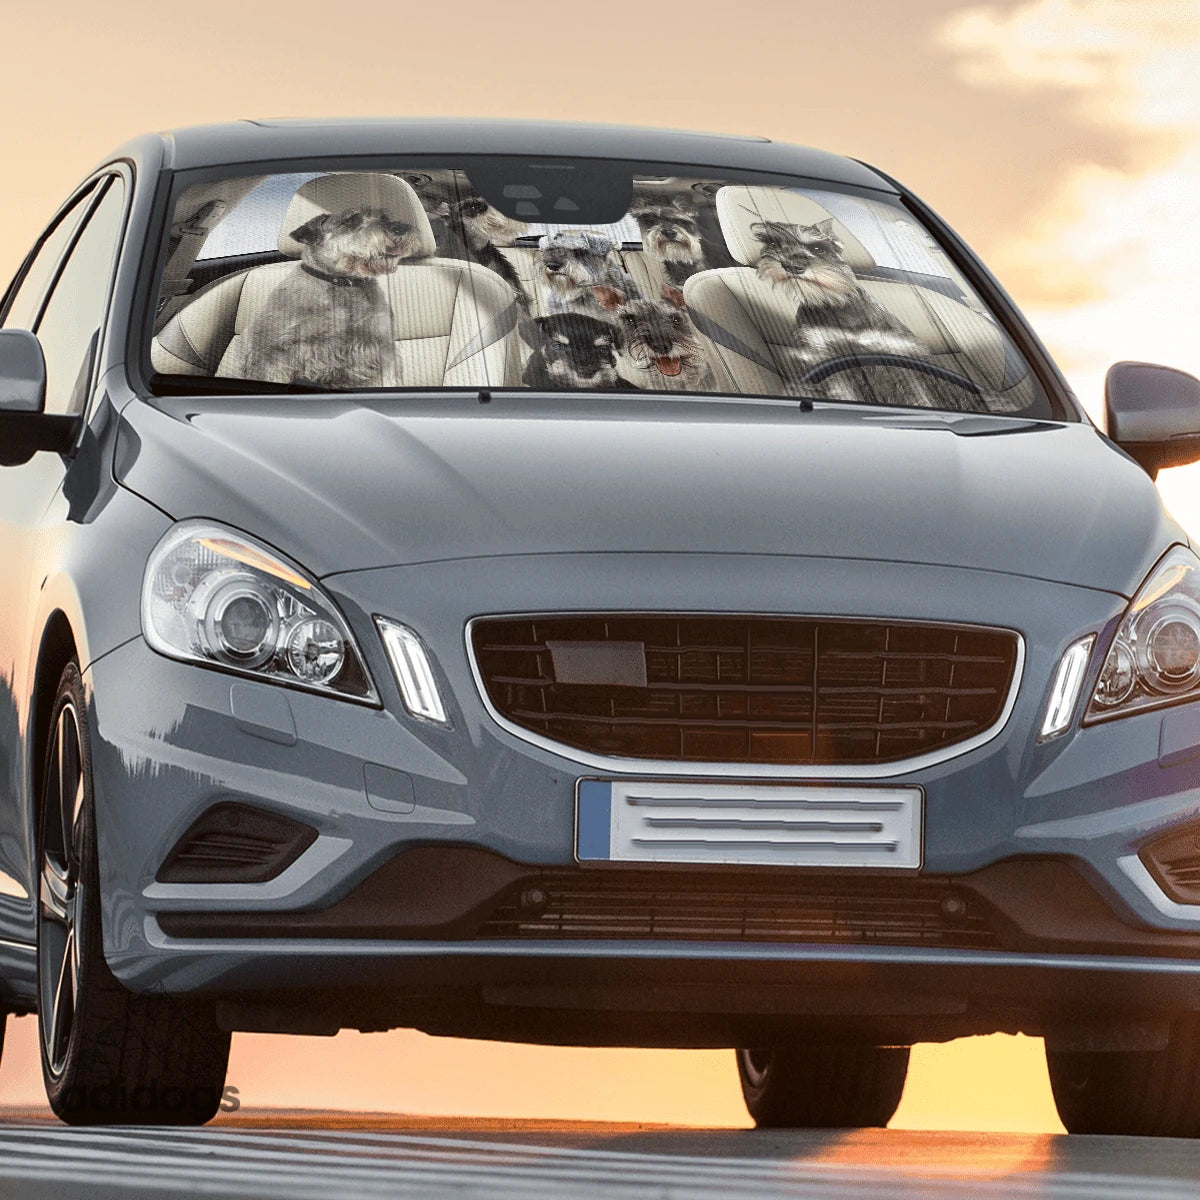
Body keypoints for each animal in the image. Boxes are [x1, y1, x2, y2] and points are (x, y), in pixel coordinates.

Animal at [238, 207, 417, 388]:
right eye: (349, 220)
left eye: (385, 217)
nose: (399, 228)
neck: (344, 283)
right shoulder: (273, 354)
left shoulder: (383, 345)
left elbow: (390, 378)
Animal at [753, 220, 979, 412]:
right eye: (773, 244)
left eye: (818, 248)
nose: (792, 266)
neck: (834, 305)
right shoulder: (825, 356)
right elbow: (844, 391)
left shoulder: (900, 355)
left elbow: (920, 395)